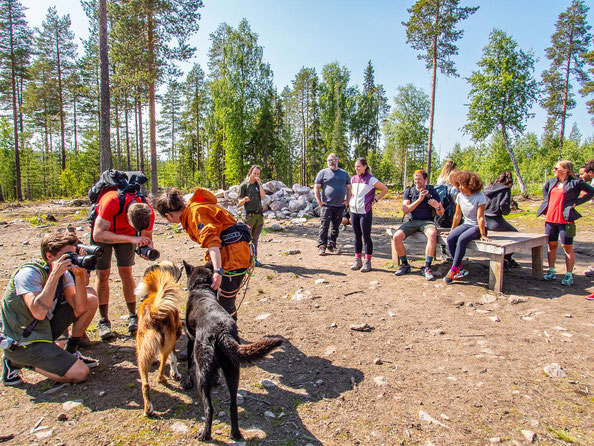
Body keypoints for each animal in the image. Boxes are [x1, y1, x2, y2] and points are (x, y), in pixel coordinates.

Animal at [134, 260, 183, 416]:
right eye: (173, 267)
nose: (180, 267)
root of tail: (153, 312)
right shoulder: (176, 334)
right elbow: (174, 359)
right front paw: (175, 374)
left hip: (141, 353)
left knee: (145, 384)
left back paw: (148, 409)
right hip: (167, 343)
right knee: (161, 370)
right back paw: (164, 378)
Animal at [180, 260, 282, 440]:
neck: (202, 289)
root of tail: (221, 331)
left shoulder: (191, 339)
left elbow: (190, 364)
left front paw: (187, 381)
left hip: (203, 372)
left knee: (209, 408)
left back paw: (205, 434)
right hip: (233, 371)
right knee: (233, 407)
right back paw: (235, 433)